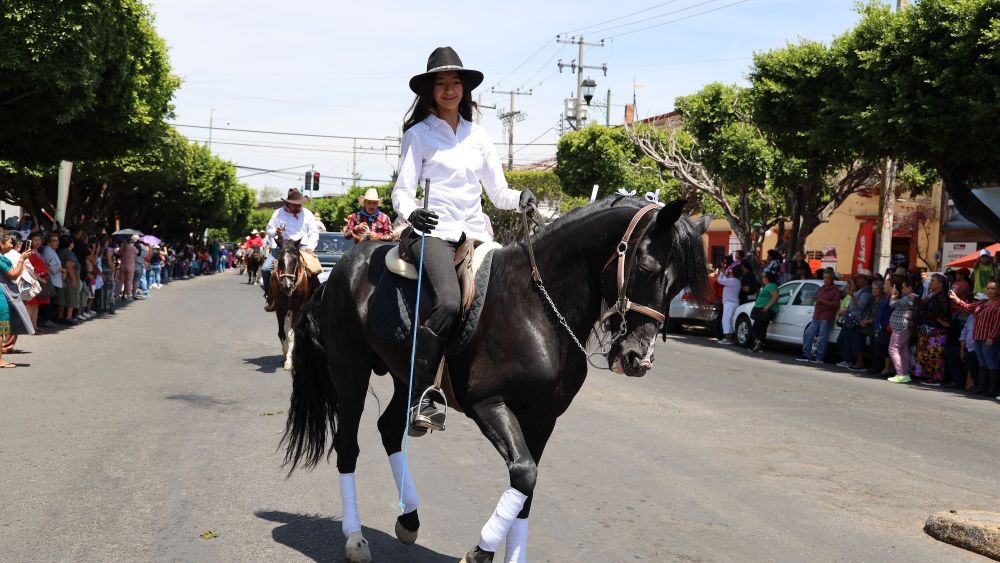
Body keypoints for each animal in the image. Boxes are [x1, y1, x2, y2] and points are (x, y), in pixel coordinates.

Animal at [272, 240, 318, 372]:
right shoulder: (280, 308)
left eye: (295, 260)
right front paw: (285, 355)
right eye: (280, 260)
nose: (286, 285)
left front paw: (289, 361)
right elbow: (282, 333)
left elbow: (292, 334)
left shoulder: (298, 308)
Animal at [282, 196, 712, 560]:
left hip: (408, 377)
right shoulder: (489, 405)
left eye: (678, 285)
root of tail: (343, 266)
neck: (537, 306)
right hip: (350, 371)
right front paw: (479, 552)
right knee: (348, 446)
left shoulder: (542, 419)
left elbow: (527, 490)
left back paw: (409, 519)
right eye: (647, 270)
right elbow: (523, 473)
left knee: (390, 428)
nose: (638, 358)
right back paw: (355, 539)